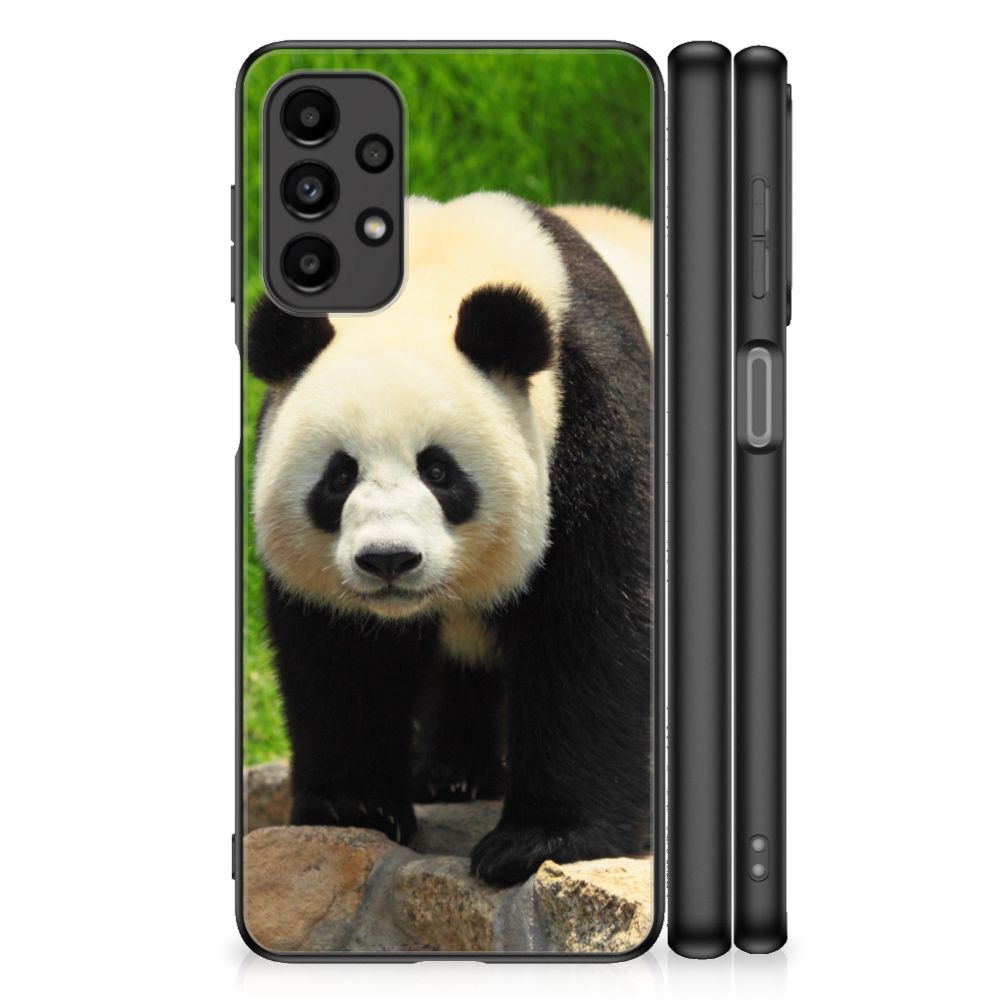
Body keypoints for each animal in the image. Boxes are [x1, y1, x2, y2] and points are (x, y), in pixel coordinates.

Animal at [249, 192, 653, 886]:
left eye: (438, 471)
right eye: (338, 476)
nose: (389, 560)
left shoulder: (595, 417)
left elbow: (594, 626)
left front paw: (539, 840)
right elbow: (340, 653)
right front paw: (355, 807)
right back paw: (453, 776)